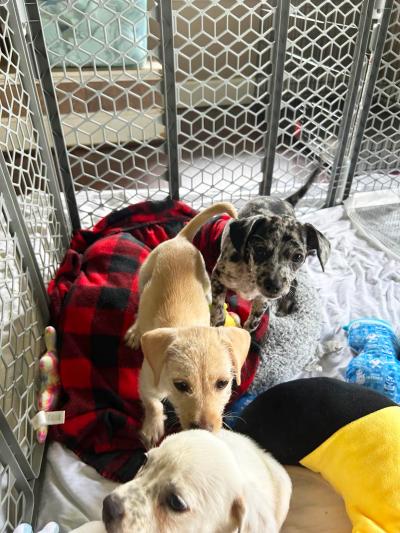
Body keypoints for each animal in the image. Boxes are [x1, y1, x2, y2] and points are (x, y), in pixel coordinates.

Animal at [125, 202, 250, 446]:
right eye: (181, 385)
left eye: (222, 383)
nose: (203, 429)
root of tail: (180, 240)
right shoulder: (147, 381)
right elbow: (152, 404)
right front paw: (152, 427)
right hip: (145, 275)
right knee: (139, 306)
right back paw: (135, 331)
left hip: (206, 282)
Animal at [209, 168, 332, 330]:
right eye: (260, 250)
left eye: (298, 257)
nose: (274, 286)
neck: (249, 276)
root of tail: (285, 201)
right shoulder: (218, 277)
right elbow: (218, 310)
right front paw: (217, 327)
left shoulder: (263, 300)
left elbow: (252, 323)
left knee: (294, 284)